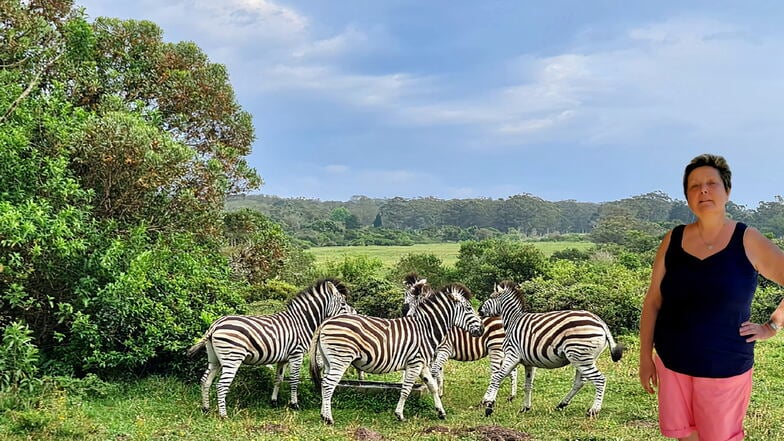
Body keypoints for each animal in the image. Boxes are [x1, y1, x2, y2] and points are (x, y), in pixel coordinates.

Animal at [187, 278, 350, 416]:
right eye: (343, 304)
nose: (353, 314)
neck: (301, 322)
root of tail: (215, 325)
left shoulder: (283, 358)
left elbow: (278, 379)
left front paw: (274, 402)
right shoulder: (296, 354)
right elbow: (294, 380)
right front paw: (294, 404)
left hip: (214, 359)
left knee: (205, 381)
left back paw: (206, 408)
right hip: (232, 359)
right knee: (221, 385)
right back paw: (223, 415)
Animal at [308, 282, 484, 422]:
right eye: (469, 308)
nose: (482, 329)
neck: (425, 329)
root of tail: (326, 321)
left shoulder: (422, 364)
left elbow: (432, 386)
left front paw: (441, 411)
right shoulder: (414, 363)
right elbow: (406, 389)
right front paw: (399, 414)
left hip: (329, 361)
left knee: (324, 383)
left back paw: (323, 415)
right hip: (340, 359)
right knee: (329, 384)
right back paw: (329, 418)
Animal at [478, 278, 624, 416]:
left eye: (491, 297)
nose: (479, 311)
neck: (513, 320)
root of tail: (600, 322)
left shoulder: (512, 354)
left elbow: (497, 376)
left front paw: (489, 405)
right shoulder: (528, 362)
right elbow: (528, 385)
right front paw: (525, 407)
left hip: (580, 356)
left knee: (600, 379)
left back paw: (593, 410)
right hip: (583, 358)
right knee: (580, 382)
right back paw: (562, 404)